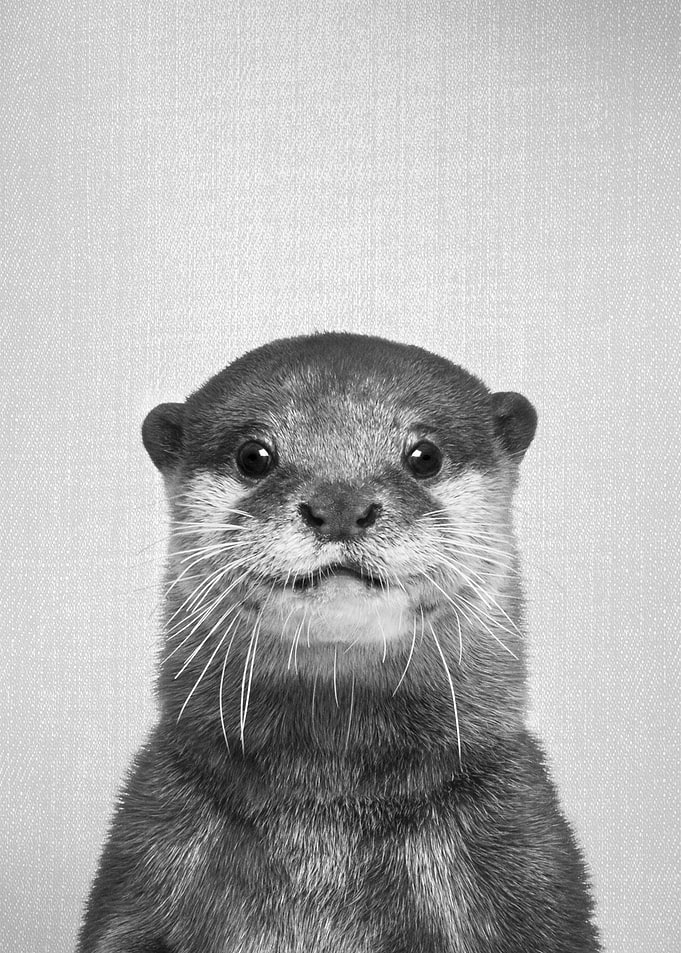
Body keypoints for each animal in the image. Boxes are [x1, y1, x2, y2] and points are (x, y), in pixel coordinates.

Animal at [78, 333, 600, 952]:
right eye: (254, 456)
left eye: (424, 455)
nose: (341, 505)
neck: (327, 812)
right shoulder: (146, 856)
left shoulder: (526, 863)